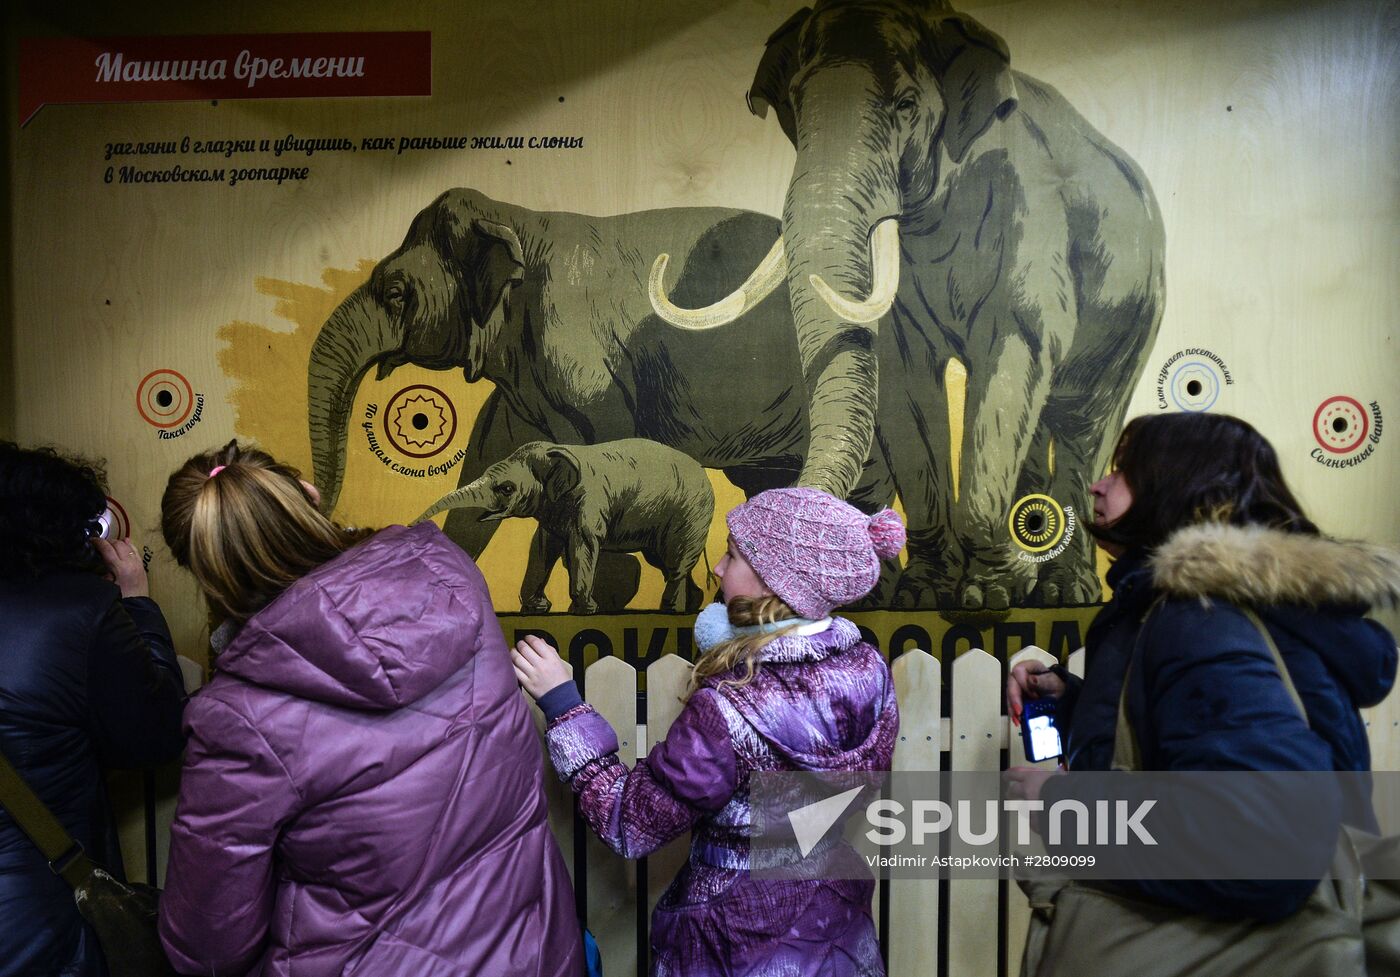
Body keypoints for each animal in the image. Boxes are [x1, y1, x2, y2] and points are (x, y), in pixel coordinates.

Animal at [649, 0, 1164, 604]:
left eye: (906, 105)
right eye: (796, 103)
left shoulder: (1029, 220)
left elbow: (1015, 352)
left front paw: (990, 597)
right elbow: (905, 381)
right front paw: (926, 594)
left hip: (1140, 311)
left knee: (1087, 420)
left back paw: (1063, 591)